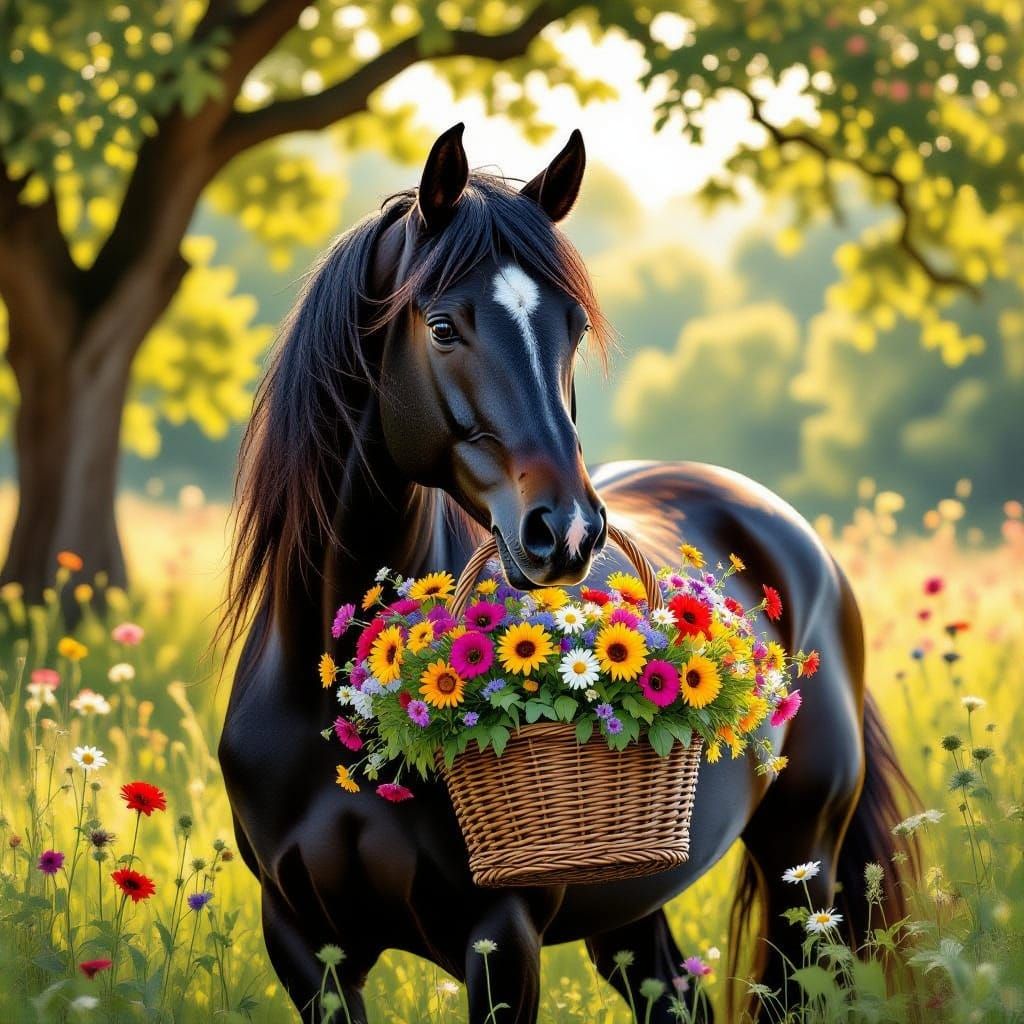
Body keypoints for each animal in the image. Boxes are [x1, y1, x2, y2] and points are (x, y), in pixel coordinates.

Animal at [219, 123, 916, 1023]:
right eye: (441, 328)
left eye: (575, 326)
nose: (571, 531)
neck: (336, 706)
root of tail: (802, 545)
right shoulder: (304, 946)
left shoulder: (501, 937)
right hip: (631, 908)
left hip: (804, 865)